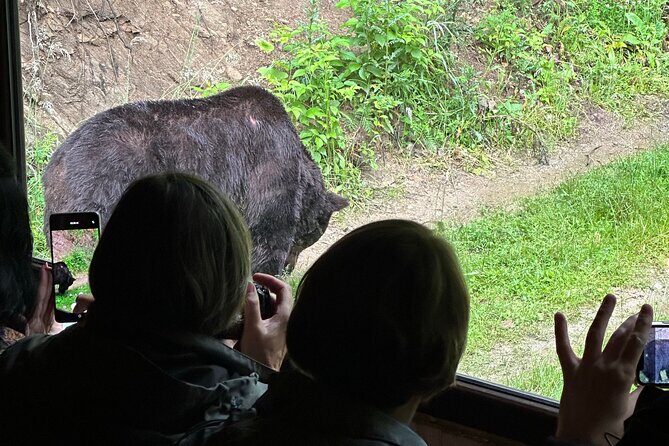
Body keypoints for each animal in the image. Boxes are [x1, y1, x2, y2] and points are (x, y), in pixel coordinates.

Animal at [43, 86, 348, 275]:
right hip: (104, 189)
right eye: (309, 238)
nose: (290, 268)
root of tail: (56, 163)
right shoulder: (268, 167)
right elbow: (268, 232)